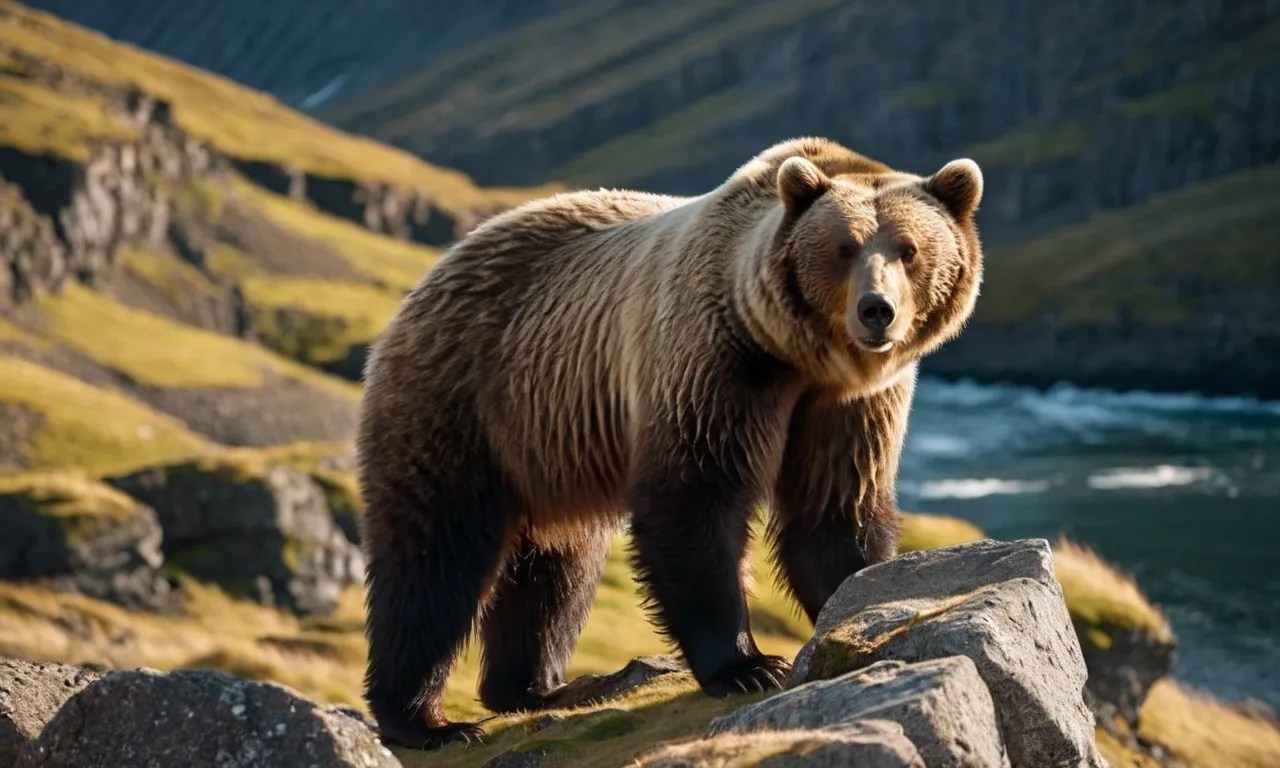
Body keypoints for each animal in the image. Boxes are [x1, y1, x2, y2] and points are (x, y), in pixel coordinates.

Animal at [355, 136, 985, 749]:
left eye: (908, 249)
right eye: (844, 248)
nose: (877, 310)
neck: (797, 357)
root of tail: (433, 274)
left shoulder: (847, 407)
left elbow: (835, 508)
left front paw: (856, 607)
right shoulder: (714, 365)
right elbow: (695, 503)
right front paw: (747, 666)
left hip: (550, 446)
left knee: (556, 568)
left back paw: (538, 686)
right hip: (465, 406)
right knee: (436, 557)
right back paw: (427, 721)